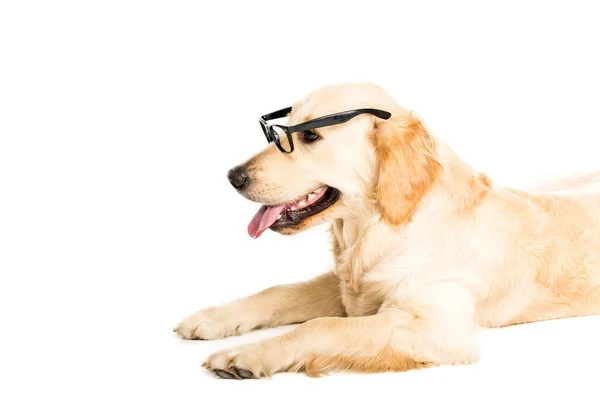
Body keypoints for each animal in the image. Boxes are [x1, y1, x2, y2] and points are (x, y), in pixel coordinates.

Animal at [173, 83, 600, 378]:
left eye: (310, 135)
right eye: (278, 132)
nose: (233, 176)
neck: (378, 229)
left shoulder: (438, 329)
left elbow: (321, 326)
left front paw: (247, 354)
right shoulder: (349, 287)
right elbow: (280, 292)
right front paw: (212, 318)